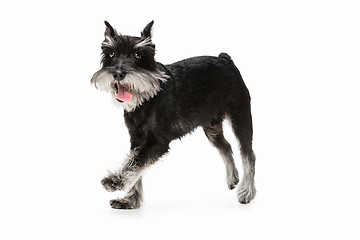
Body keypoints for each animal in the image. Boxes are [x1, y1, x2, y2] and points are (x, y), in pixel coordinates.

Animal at [91, 21, 258, 208]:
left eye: (137, 55)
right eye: (111, 53)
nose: (118, 73)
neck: (147, 97)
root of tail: (225, 59)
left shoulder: (157, 142)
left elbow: (136, 162)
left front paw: (115, 181)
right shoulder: (136, 139)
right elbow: (135, 165)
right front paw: (130, 201)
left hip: (241, 118)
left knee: (248, 154)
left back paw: (247, 192)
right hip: (212, 128)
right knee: (226, 146)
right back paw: (232, 178)